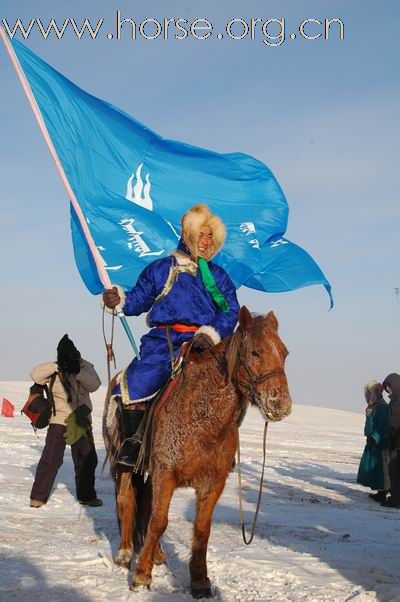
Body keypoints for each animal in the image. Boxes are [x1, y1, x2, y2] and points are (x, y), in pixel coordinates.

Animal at [103, 304, 290, 596]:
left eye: (284, 353)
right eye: (255, 352)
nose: (281, 403)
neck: (204, 419)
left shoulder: (212, 483)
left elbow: (201, 530)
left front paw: (200, 580)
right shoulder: (165, 473)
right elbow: (159, 521)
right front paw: (142, 575)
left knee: (145, 506)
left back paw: (156, 554)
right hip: (124, 463)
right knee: (127, 500)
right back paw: (124, 553)